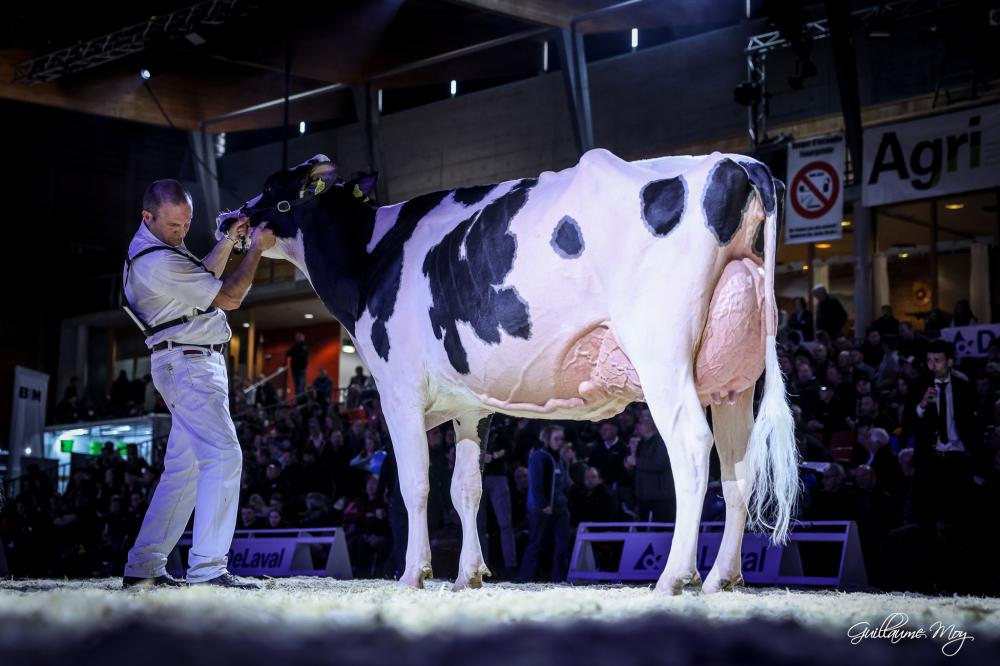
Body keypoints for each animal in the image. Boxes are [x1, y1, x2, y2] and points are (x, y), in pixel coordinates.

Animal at [219, 149, 796, 592]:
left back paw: (674, 576)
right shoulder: (471, 409)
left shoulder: (398, 391)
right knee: (739, 469)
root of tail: (735, 161)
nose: (226, 219)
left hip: (661, 352)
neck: (370, 259)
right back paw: (723, 578)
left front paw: (414, 573)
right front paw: (467, 575)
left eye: (272, 188)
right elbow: (465, 488)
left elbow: (416, 483)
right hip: (733, 377)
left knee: (693, 450)